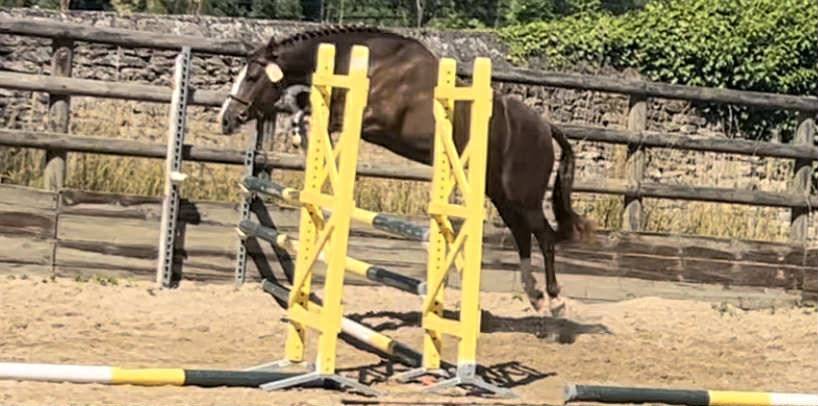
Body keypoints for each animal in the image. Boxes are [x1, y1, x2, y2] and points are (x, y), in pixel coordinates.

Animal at [217, 26, 595, 317]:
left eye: (253, 77)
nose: (227, 119)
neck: (370, 61)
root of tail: (545, 126)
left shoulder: (371, 119)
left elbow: (313, 113)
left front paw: (301, 137)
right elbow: (306, 105)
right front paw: (303, 136)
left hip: (523, 196)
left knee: (544, 236)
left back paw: (554, 300)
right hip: (501, 195)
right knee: (522, 235)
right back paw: (534, 296)